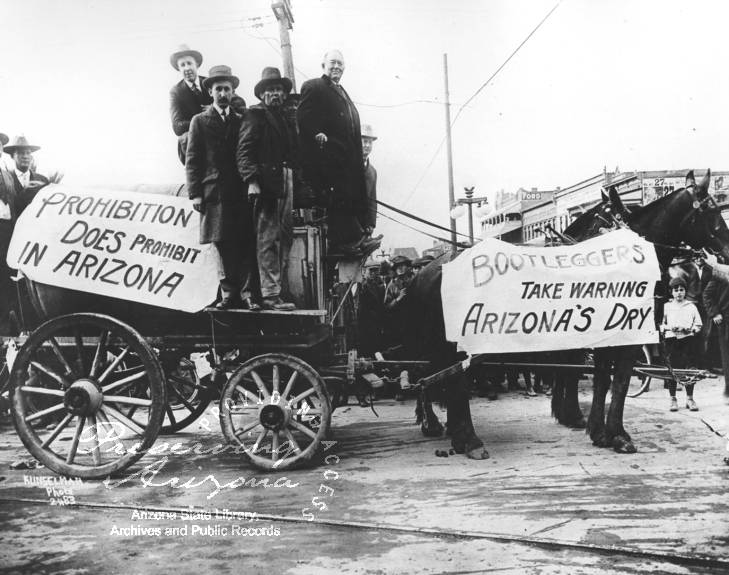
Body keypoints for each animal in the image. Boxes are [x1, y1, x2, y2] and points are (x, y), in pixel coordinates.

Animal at [404, 170, 728, 460]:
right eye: (712, 209)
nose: (725, 252)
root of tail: (429, 269)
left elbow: (599, 380)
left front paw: (596, 430)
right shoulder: (622, 338)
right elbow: (617, 382)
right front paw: (617, 434)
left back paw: (454, 433)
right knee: (447, 380)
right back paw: (463, 437)